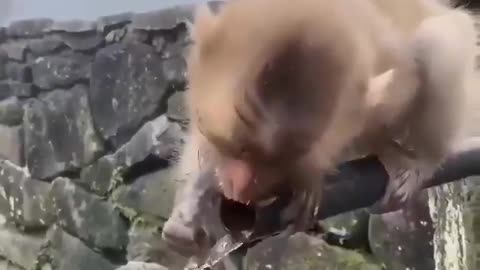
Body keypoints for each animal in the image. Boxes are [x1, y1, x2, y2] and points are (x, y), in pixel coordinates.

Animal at [163, 0, 478, 251]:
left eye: (274, 159)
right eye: (233, 149)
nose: (238, 188)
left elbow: (407, 79)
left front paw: (308, 176)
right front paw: (186, 213)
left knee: (439, 44)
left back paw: (423, 161)